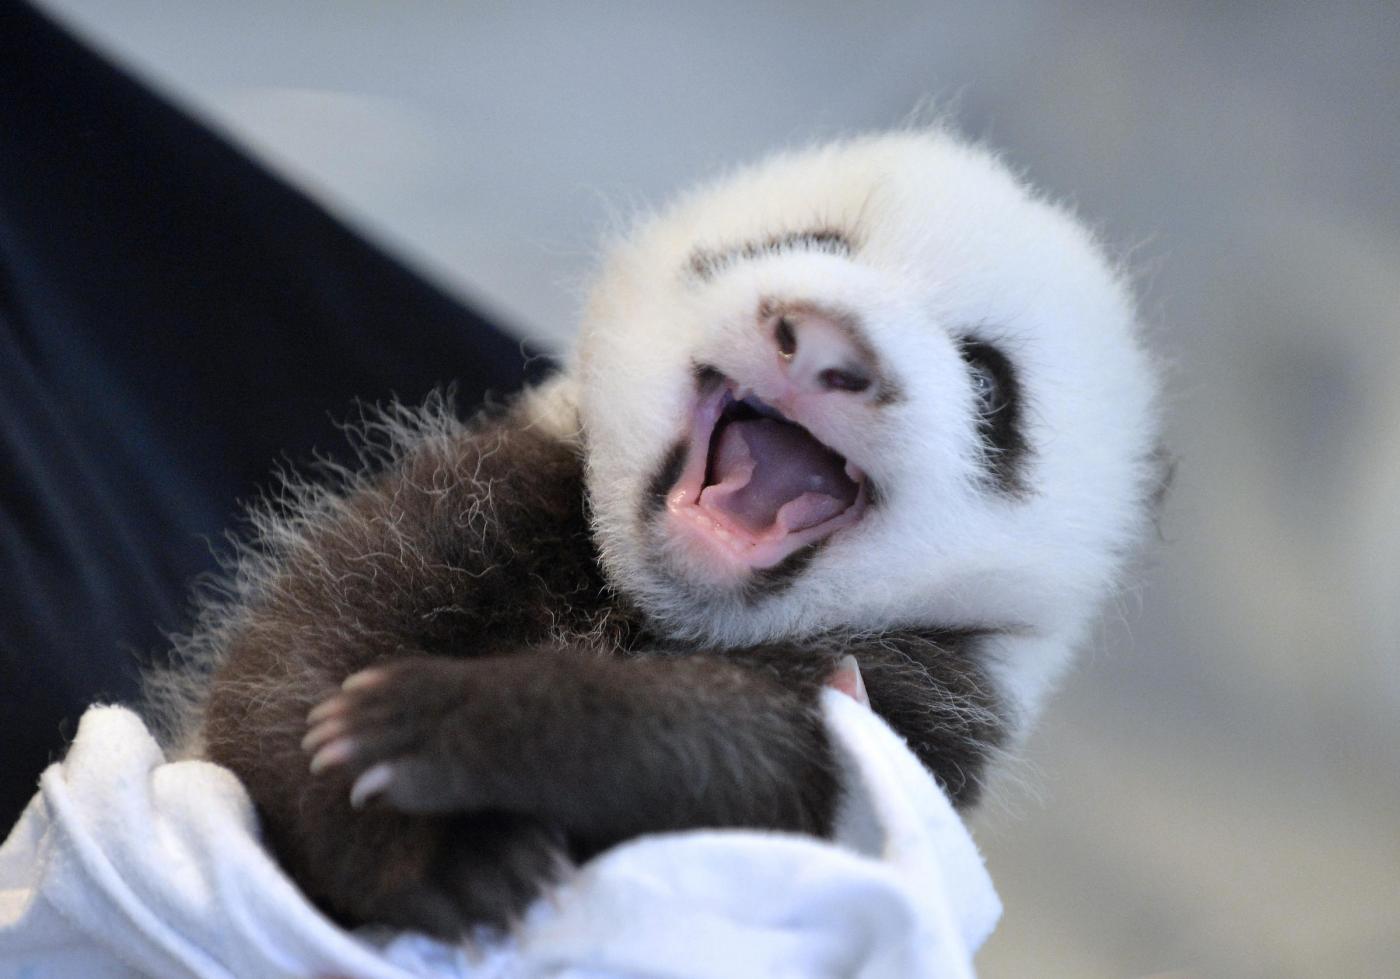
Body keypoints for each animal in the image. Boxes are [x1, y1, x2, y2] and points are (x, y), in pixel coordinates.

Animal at [163, 126, 1164, 935]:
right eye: (807, 242)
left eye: (990, 380)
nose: (826, 344)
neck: (653, 609)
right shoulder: (494, 487)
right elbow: (292, 660)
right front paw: (432, 848)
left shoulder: (922, 711)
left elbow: (760, 766)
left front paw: (456, 725)